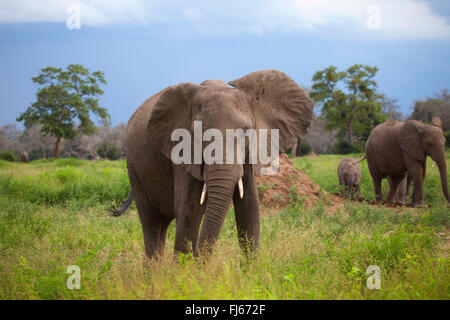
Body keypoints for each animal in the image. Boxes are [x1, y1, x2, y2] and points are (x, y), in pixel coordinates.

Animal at [122, 70, 312, 260]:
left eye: (246, 132)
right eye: (198, 133)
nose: (199, 258)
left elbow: (250, 212)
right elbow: (189, 214)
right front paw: (185, 267)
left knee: (163, 225)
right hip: (134, 168)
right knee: (151, 223)